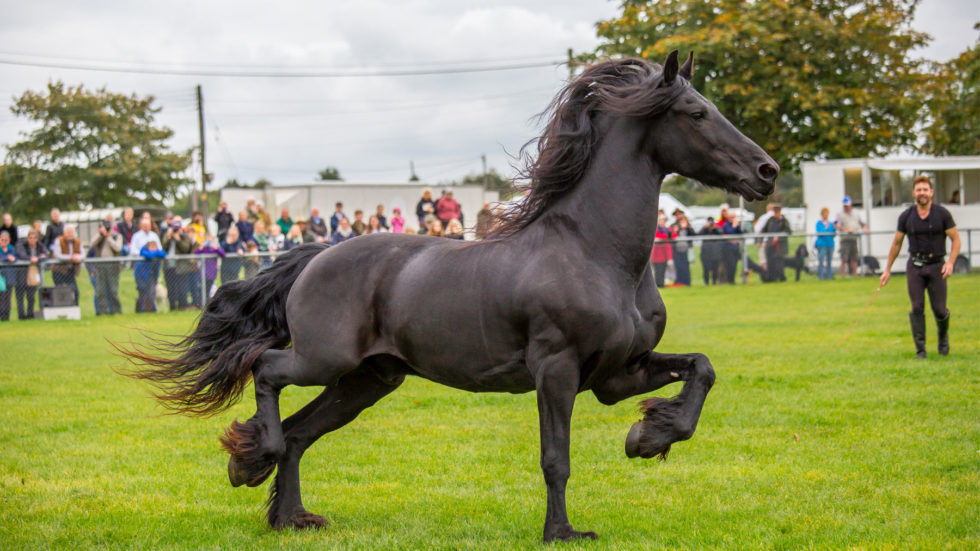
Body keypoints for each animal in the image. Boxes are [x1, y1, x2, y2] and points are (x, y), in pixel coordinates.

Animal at [126, 51, 776, 544]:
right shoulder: (558, 371)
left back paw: (290, 516)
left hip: (368, 380)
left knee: (299, 433)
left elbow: (701, 370)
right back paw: (249, 460)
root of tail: (316, 256)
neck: (593, 252)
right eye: (696, 112)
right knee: (266, 373)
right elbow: (556, 457)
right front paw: (563, 532)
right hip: (323, 360)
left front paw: (648, 438)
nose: (767, 172)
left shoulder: (616, 375)